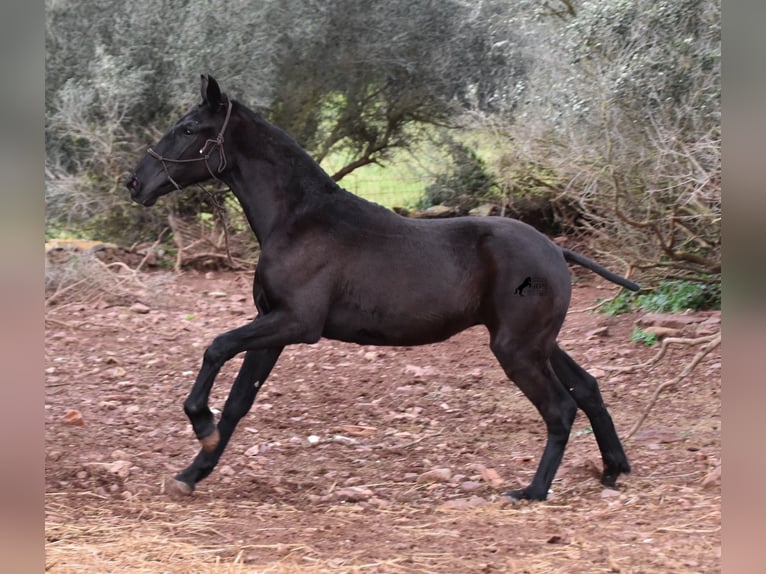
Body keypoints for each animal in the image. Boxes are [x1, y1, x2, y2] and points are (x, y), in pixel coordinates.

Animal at [127, 74, 636, 502]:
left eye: (188, 129)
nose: (134, 182)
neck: (298, 219)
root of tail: (556, 251)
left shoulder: (295, 323)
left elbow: (215, 348)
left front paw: (200, 422)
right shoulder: (271, 327)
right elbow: (237, 403)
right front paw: (192, 472)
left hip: (517, 348)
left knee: (560, 408)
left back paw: (532, 491)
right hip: (537, 343)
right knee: (587, 388)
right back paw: (613, 469)